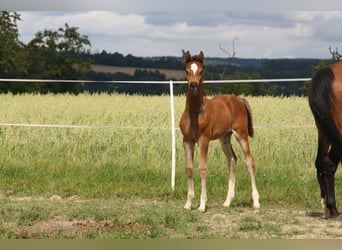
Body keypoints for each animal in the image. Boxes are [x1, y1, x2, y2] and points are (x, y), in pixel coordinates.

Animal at [179, 51, 260, 213]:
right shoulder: (187, 140)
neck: (195, 112)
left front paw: (202, 205)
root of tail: (238, 100)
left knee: (249, 161)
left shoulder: (204, 140)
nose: (194, 85)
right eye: (186, 70)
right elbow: (189, 168)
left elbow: (202, 169)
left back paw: (256, 203)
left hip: (241, 134)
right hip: (225, 138)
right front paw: (188, 203)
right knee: (233, 159)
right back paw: (227, 202)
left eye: (201, 71)